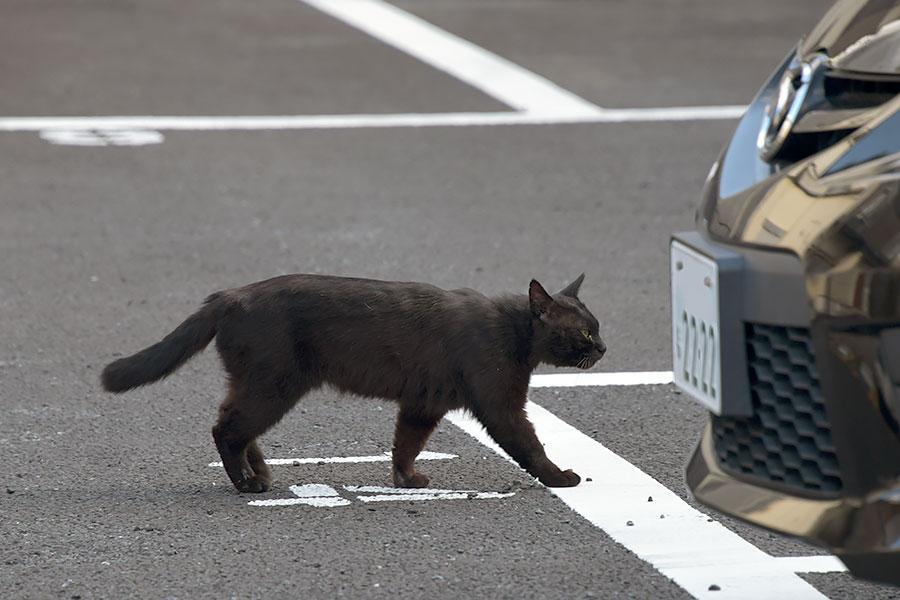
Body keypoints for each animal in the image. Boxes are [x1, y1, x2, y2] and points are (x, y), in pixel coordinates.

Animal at [103, 274, 604, 490]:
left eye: (598, 327)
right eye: (583, 332)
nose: (603, 349)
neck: (512, 330)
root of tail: (230, 294)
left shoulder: (423, 403)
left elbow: (406, 443)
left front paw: (406, 479)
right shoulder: (501, 404)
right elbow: (530, 446)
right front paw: (560, 477)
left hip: (259, 385)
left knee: (237, 426)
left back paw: (258, 473)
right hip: (273, 385)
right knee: (225, 429)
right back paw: (247, 484)